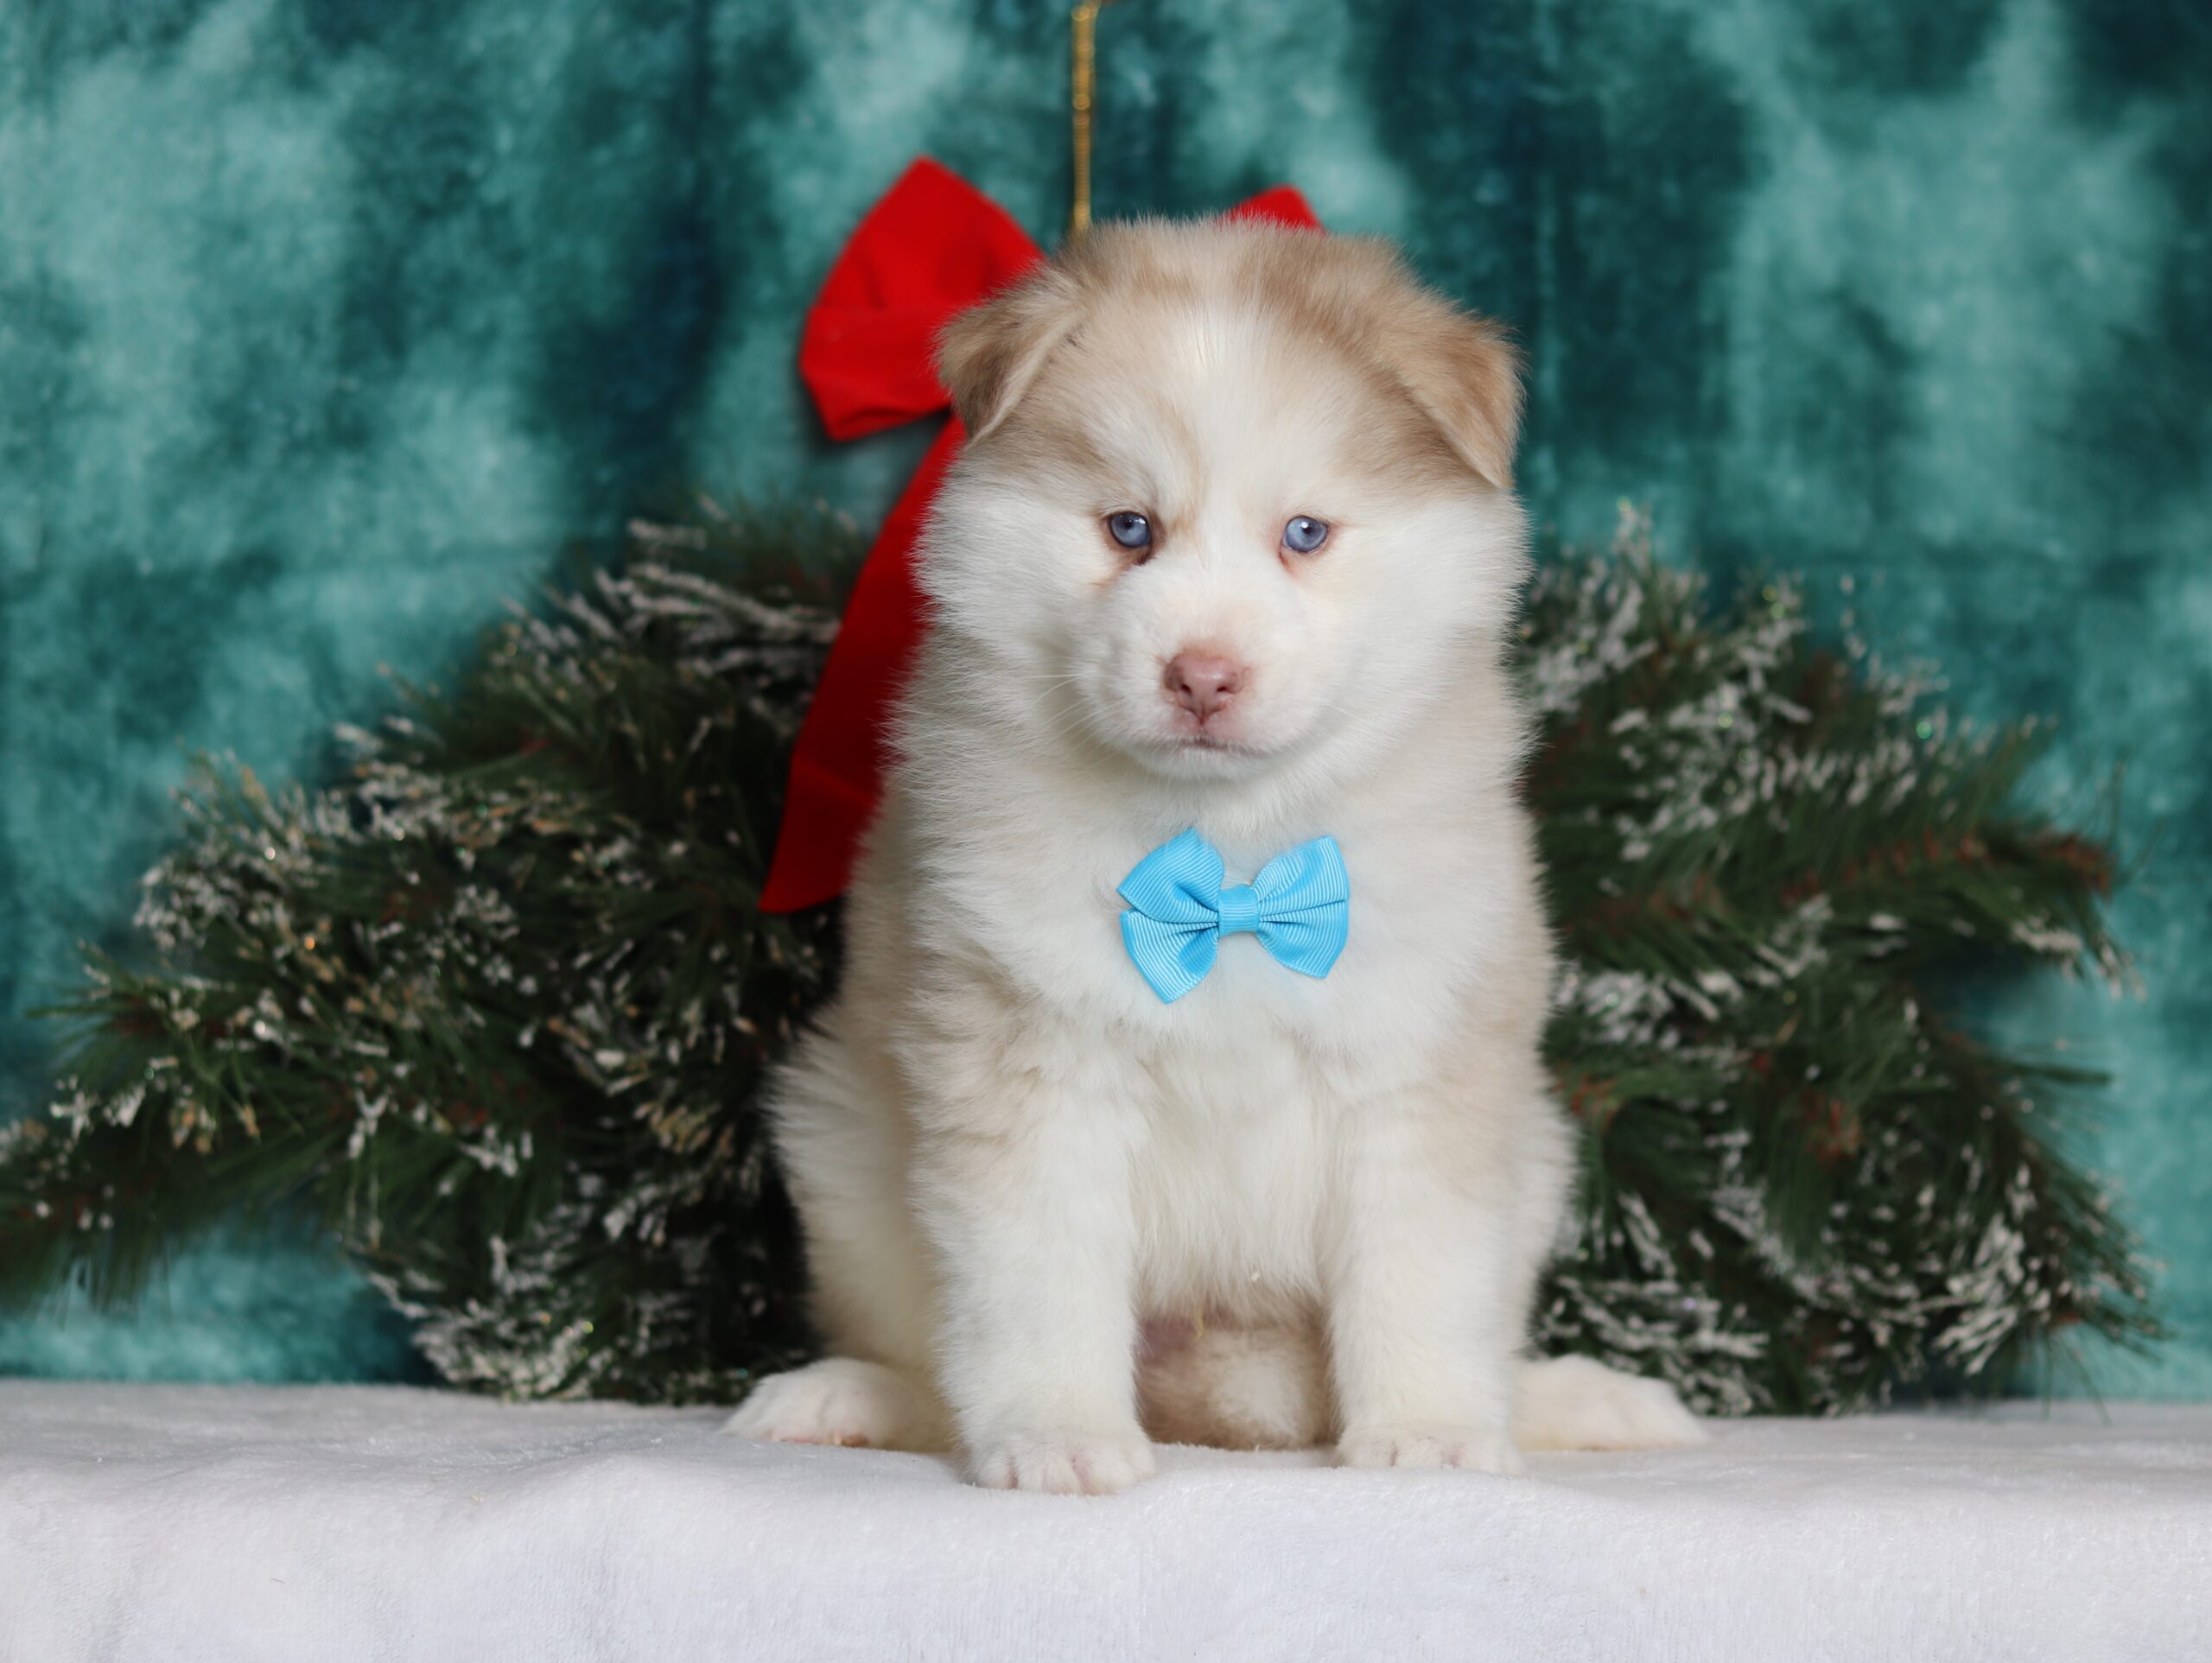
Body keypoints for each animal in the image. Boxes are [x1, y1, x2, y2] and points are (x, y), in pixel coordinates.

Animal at [727, 218, 1702, 1492]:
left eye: (1305, 534)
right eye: (1129, 528)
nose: (1202, 674)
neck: (1231, 857)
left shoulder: (1416, 1065)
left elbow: (1421, 1279)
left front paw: (1431, 1431)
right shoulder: (1031, 1062)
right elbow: (1037, 1284)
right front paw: (1059, 1434)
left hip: (1535, 1153)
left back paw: (1585, 1399)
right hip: (840, 1144)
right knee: (922, 1358)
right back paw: (843, 1394)